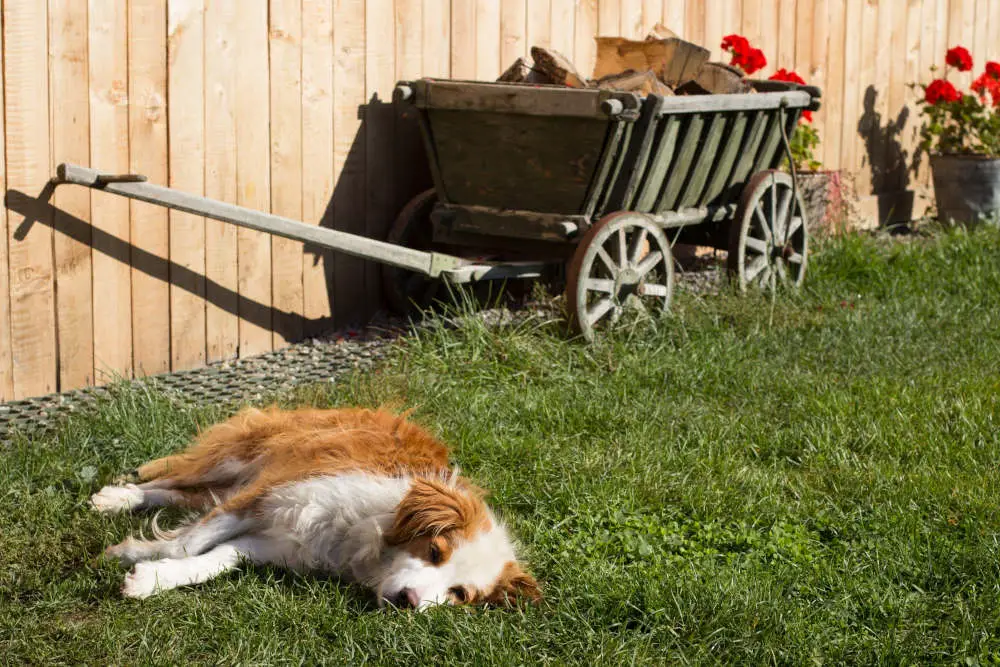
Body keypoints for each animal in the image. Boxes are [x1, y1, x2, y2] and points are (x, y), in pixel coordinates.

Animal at [92, 408, 540, 612]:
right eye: (434, 551)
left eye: (460, 594)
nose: (409, 601)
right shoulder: (271, 490)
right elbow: (186, 543)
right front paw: (131, 554)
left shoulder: (279, 544)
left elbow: (216, 558)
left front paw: (153, 578)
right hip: (243, 459)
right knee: (169, 481)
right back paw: (117, 498)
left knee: (186, 496)